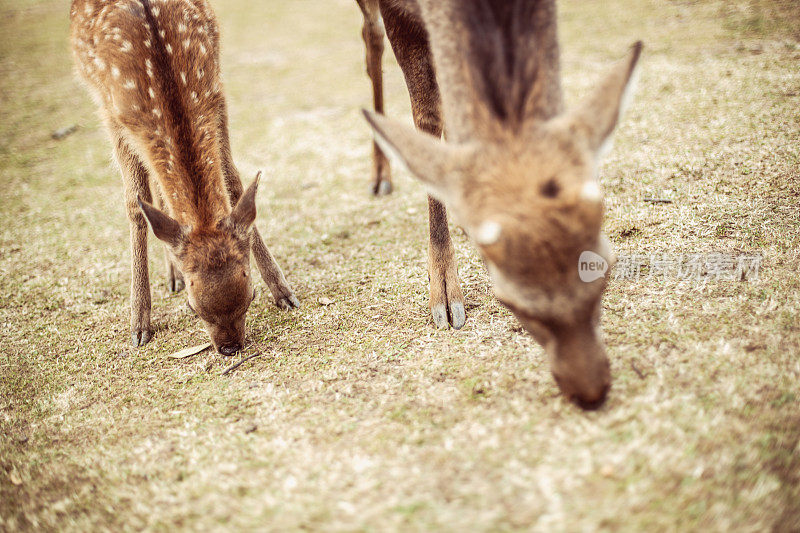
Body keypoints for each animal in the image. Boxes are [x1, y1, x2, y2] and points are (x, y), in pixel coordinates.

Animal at [69, 0, 296, 356]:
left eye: (251, 295)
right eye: (193, 308)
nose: (230, 348)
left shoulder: (215, 94)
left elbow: (233, 182)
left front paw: (283, 291)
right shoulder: (113, 115)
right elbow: (134, 204)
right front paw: (139, 325)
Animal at [360, 0, 640, 408]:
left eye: (606, 272)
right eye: (509, 302)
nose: (592, 393)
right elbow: (427, 116)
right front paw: (444, 294)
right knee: (371, 37)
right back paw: (381, 172)